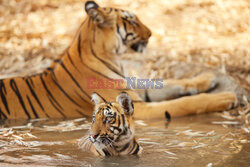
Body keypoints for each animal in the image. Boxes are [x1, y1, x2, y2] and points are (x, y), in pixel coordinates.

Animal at [0, 0, 236, 120]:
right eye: (131, 20)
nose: (151, 33)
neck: (112, 57)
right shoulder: (137, 107)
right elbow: (183, 103)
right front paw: (226, 97)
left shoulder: (135, 90)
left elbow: (172, 83)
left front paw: (207, 77)